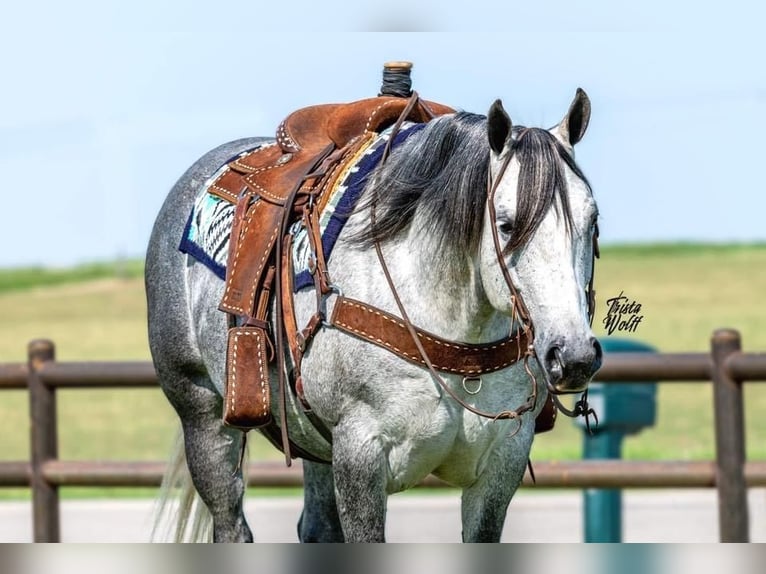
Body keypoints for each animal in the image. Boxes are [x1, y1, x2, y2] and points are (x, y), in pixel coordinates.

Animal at [142, 88, 600, 544]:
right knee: (230, 522)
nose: (573, 356)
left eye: (592, 220)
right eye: (506, 225)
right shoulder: (360, 453)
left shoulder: (501, 464)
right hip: (202, 415)